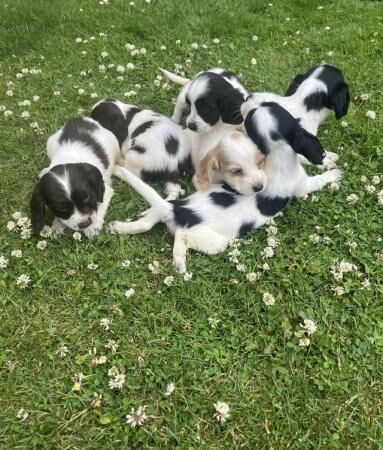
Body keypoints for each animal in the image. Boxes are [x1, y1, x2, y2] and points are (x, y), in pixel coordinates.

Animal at [108, 102, 342, 272]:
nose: (248, 102)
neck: (277, 153)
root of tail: (180, 211)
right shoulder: (301, 186)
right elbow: (316, 181)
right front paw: (333, 174)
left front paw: (328, 160)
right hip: (212, 241)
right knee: (181, 239)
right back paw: (180, 262)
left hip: (170, 206)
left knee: (147, 222)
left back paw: (121, 227)